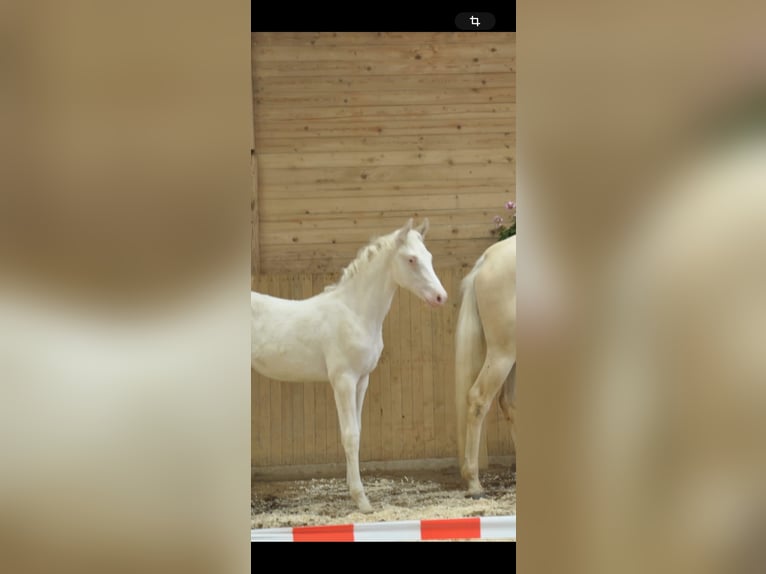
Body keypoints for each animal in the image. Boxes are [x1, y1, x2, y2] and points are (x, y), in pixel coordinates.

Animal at [252, 219, 448, 512]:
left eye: (430, 257)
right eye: (411, 259)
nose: (440, 297)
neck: (355, 313)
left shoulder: (361, 380)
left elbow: (358, 431)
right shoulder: (343, 380)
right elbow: (350, 435)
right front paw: (362, 500)